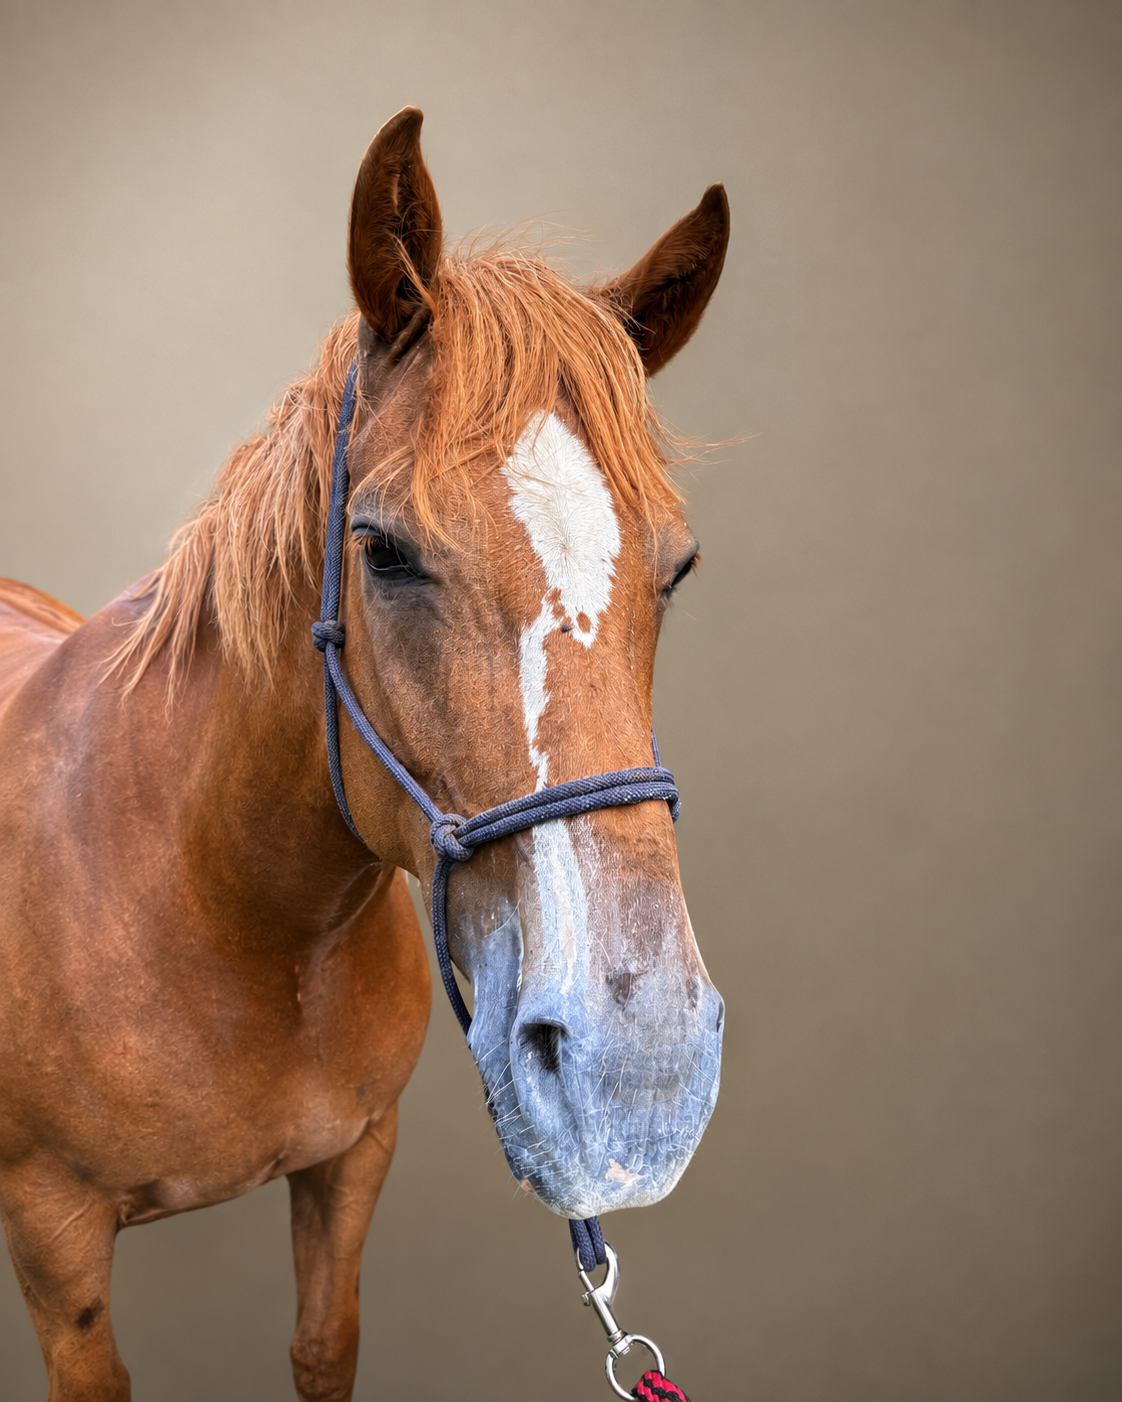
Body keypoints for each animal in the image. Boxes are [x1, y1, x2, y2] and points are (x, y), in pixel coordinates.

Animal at [0, 107, 728, 1401]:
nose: (637, 1075)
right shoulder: (54, 1235)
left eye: (677, 567)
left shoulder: (349, 1167)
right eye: (383, 550)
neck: (210, 907)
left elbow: (321, 1343)